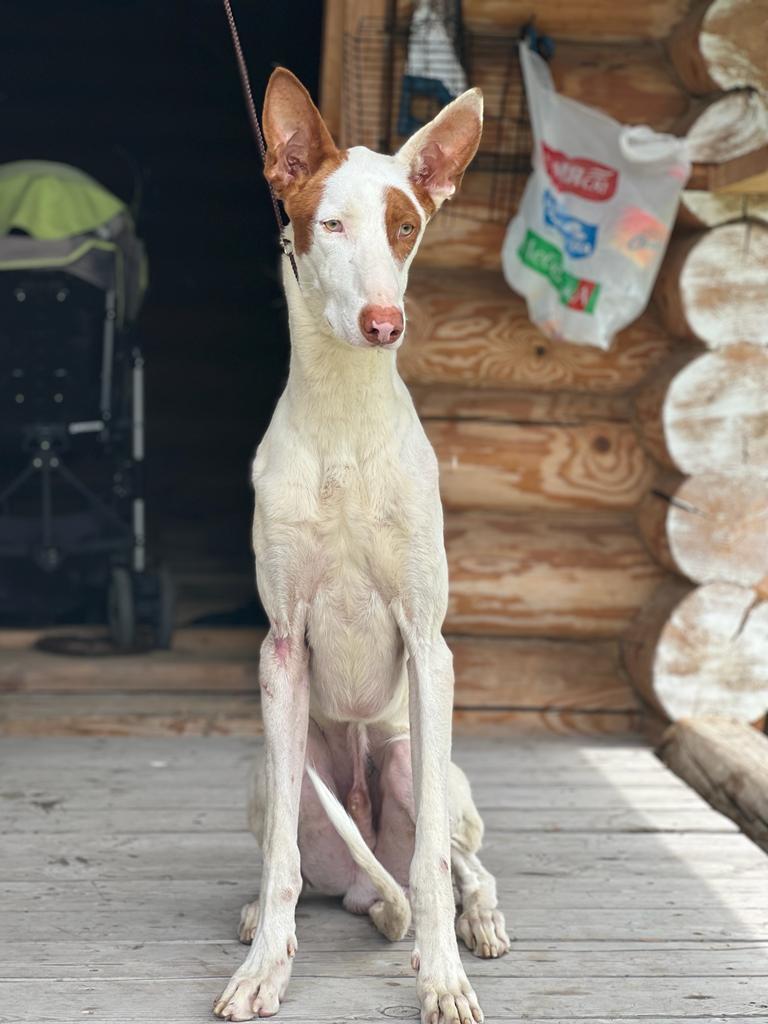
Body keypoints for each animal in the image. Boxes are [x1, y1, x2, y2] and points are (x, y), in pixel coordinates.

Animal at [214, 70, 507, 1024]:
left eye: (406, 226)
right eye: (331, 224)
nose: (385, 323)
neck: (344, 412)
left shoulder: (429, 642)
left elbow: (431, 866)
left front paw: (443, 976)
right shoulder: (281, 647)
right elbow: (279, 865)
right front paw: (263, 968)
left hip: (420, 764)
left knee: (457, 862)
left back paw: (478, 920)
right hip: (277, 771)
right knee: (304, 861)